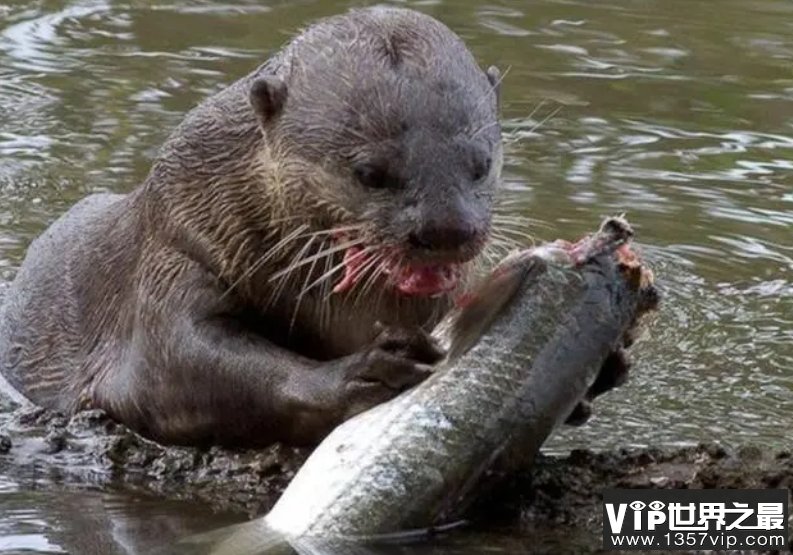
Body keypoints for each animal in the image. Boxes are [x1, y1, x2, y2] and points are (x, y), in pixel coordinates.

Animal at [0, 6, 624, 448]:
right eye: (369, 173)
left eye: (481, 162)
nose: (447, 229)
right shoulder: (175, 250)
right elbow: (179, 362)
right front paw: (363, 375)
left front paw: (602, 369)